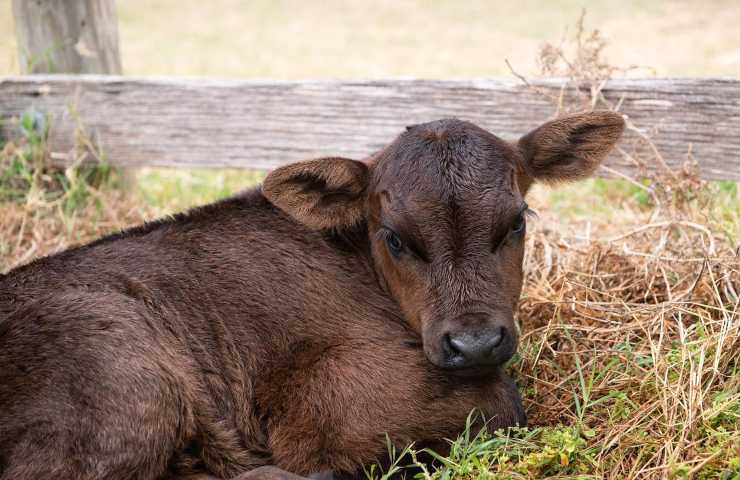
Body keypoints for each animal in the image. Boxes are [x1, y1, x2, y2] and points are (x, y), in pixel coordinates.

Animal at [0, 110, 624, 478]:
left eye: (517, 221)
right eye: (394, 237)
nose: (474, 343)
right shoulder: (321, 407)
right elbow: (503, 399)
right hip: (125, 378)